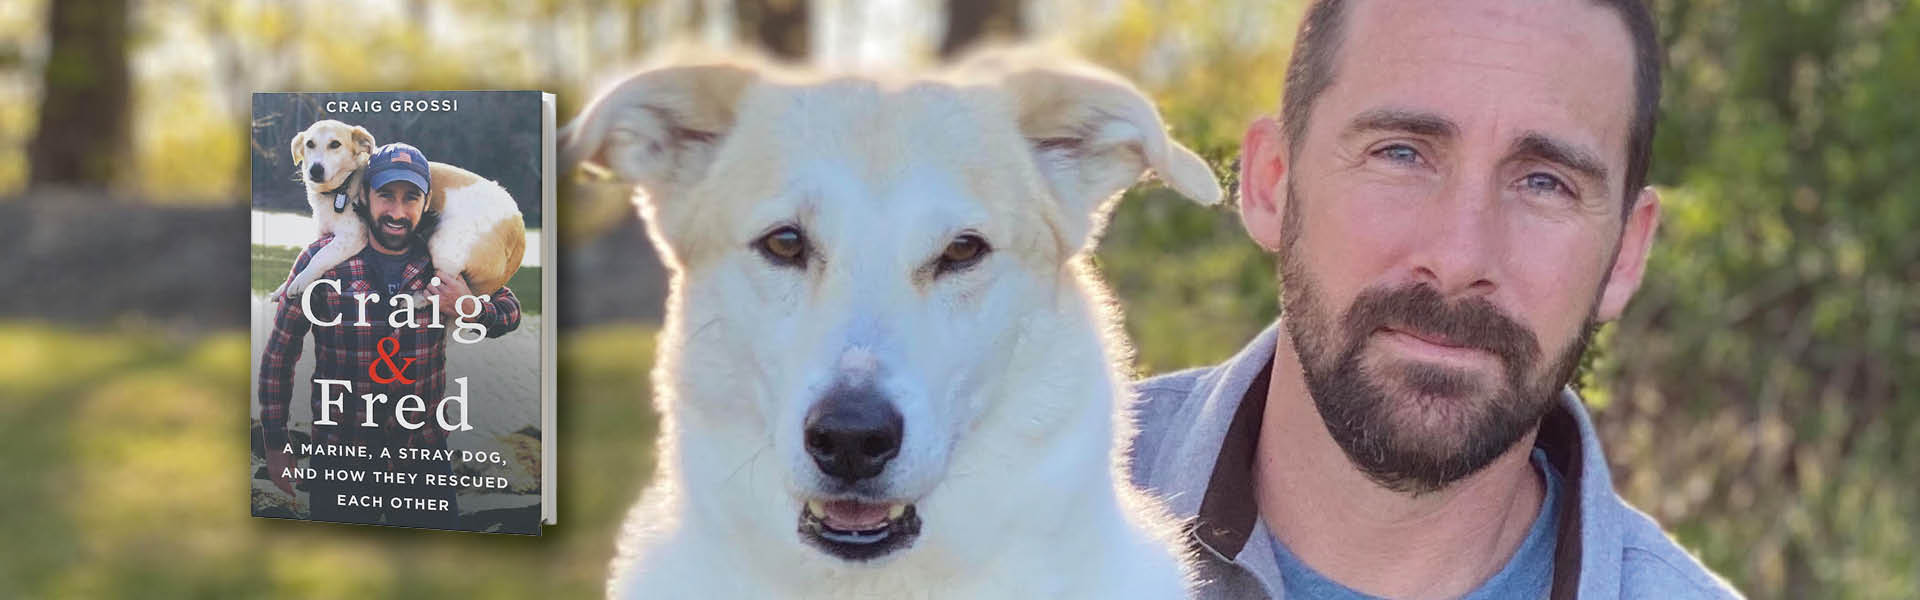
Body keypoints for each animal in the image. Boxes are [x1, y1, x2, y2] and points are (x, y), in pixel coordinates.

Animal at [272, 120, 526, 301]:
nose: (315, 170)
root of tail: (519, 229)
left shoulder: (352, 237)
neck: (340, 189)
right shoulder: (323, 233)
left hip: (444, 245)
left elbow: (320, 257)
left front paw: (300, 281)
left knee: (445, 294)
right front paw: (281, 288)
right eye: (309, 144)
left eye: (335, 144)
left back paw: (414, 301)